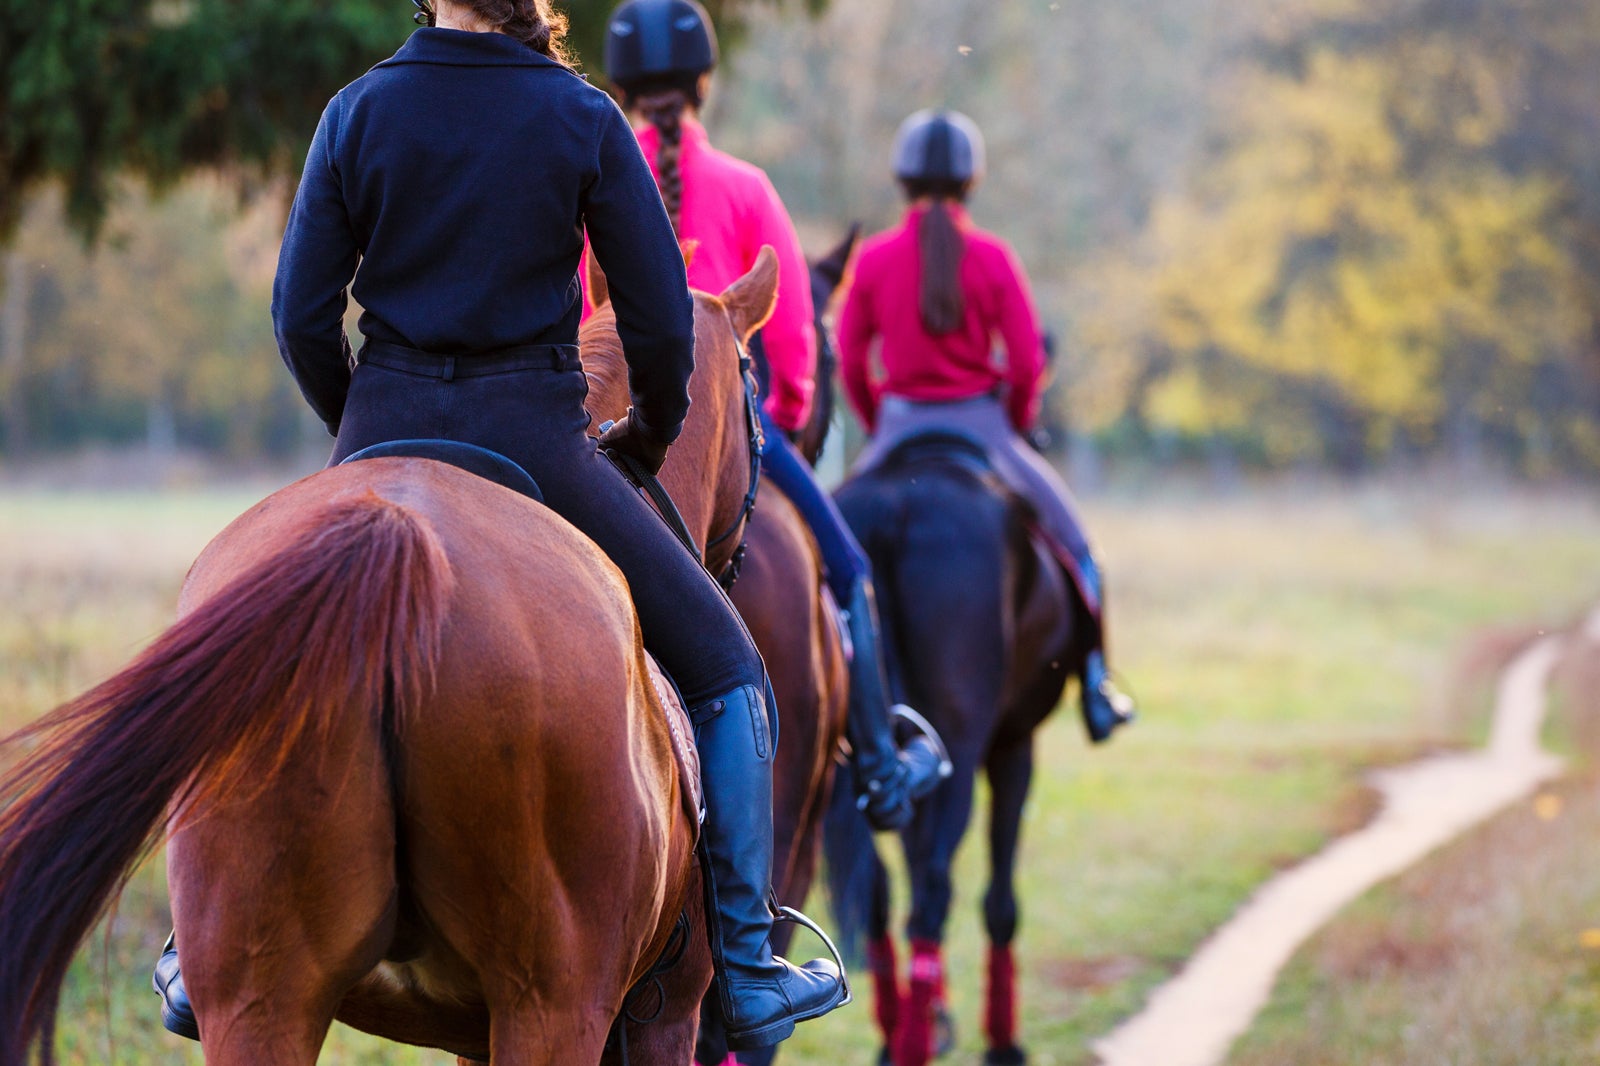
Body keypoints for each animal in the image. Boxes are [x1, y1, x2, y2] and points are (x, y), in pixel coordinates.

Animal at [825, 435, 1088, 1062]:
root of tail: (896, 503)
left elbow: (912, 859)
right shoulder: (1015, 747)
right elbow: (999, 902)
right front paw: (1001, 1040)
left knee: (881, 890)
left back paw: (897, 1031)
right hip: (965, 756)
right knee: (932, 897)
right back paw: (915, 1041)